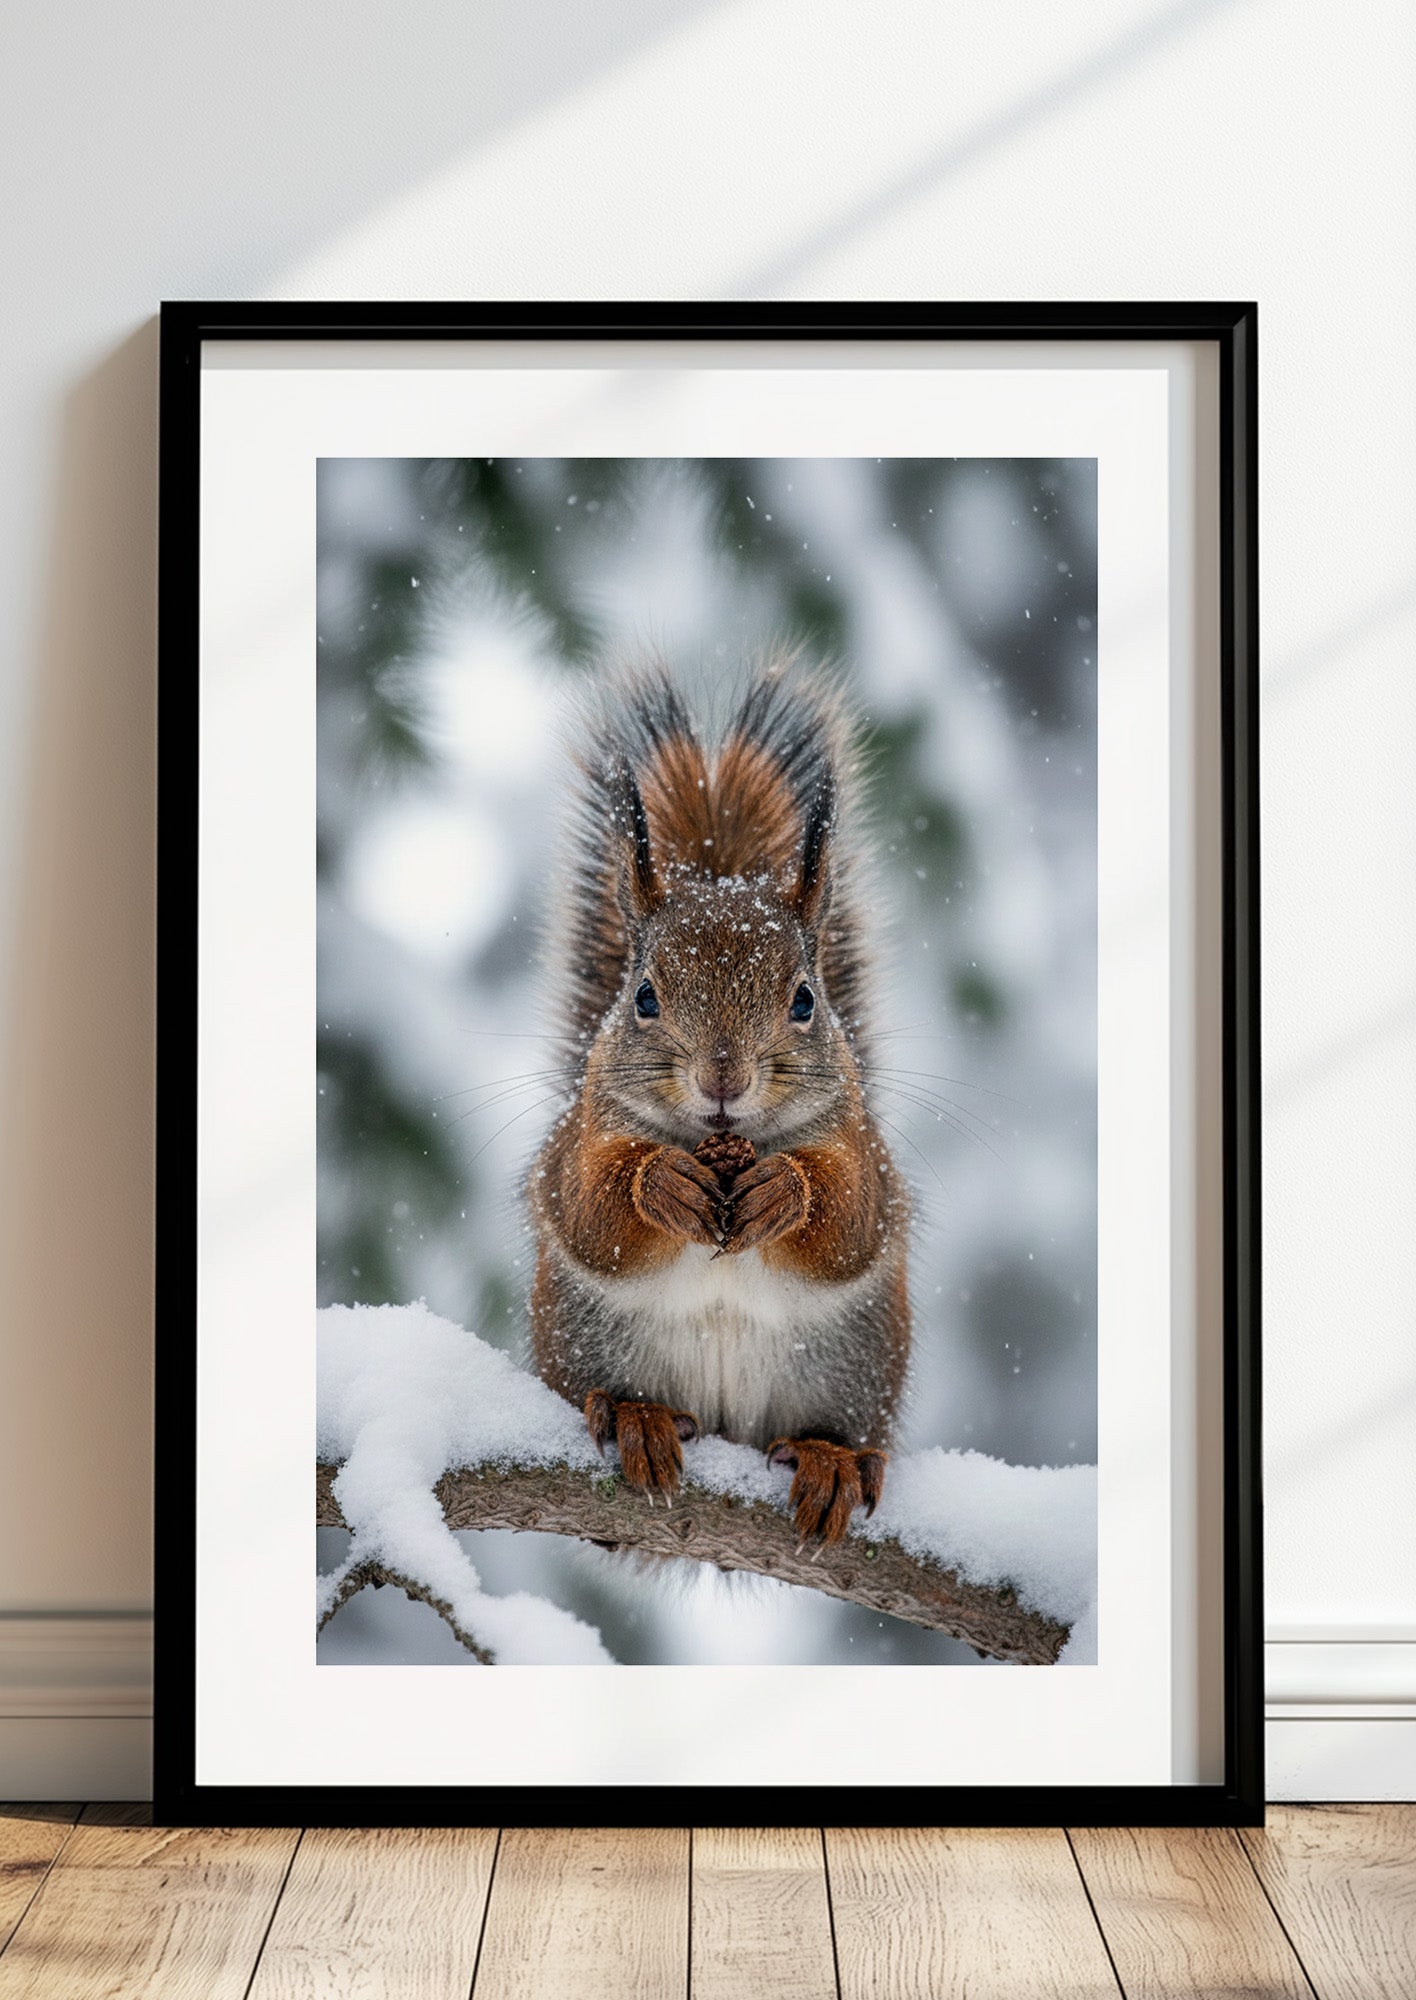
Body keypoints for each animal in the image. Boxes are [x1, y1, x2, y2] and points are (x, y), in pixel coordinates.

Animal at [528, 656, 911, 1544]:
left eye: (805, 1000)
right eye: (643, 997)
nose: (723, 1080)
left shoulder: (861, 1143)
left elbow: (852, 1220)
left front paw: (785, 1191)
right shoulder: (580, 1134)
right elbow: (589, 1209)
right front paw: (660, 1183)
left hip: (854, 1369)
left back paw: (831, 1461)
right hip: (586, 1340)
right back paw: (635, 1417)